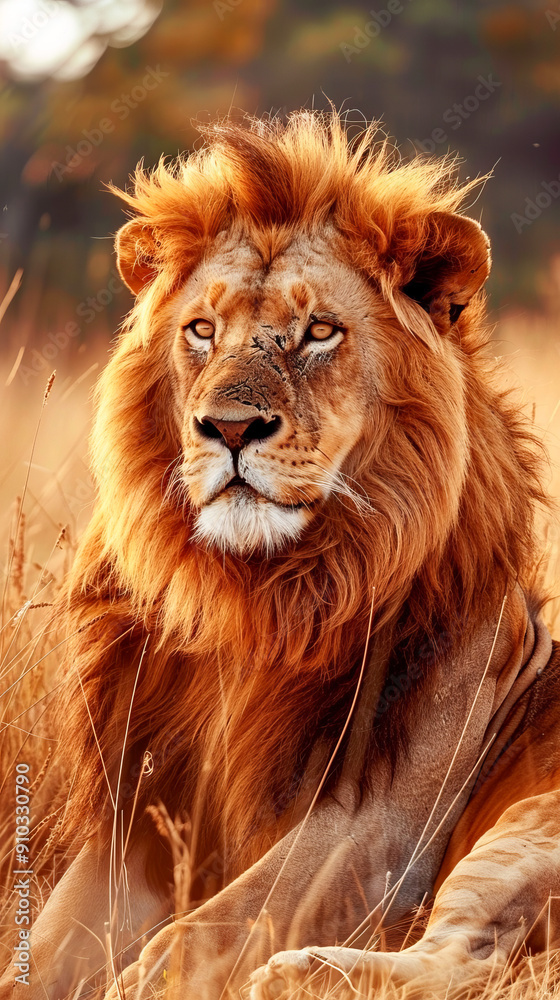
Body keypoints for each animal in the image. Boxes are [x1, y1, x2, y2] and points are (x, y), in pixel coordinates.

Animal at [4, 110, 560, 1000]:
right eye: (201, 330)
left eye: (318, 332)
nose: (228, 428)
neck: (255, 602)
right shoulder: (139, 823)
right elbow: (40, 952)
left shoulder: (376, 828)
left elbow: (201, 932)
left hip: (521, 825)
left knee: (463, 961)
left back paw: (301, 970)